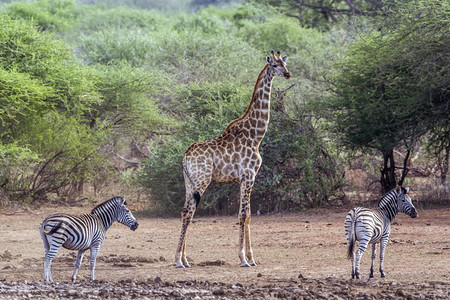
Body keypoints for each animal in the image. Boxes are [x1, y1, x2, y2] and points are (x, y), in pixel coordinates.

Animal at [174, 50, 290, 268]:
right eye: (275, 65)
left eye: (284, 64)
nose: (288, 74)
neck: (255, 135)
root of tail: (185, 157)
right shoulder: (248, 176)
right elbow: (243, 215)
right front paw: (243, 258)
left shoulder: (247, 178)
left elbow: (249, 215)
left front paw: (252, 258)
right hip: (202, 180)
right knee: (189, 212)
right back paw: (178, 260)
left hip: (189, 182)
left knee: (185, 211)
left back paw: (184, 259)